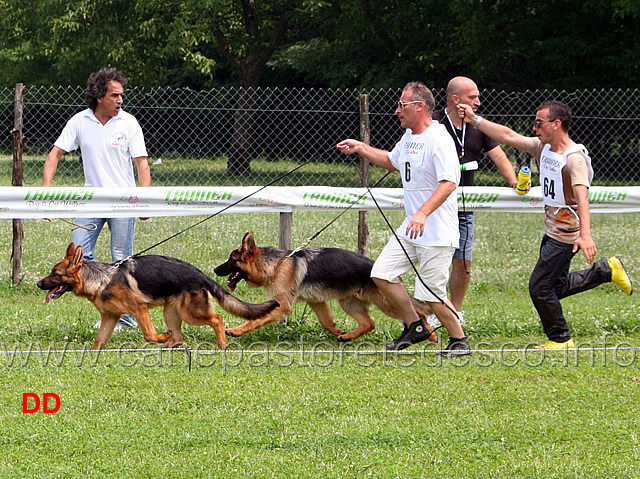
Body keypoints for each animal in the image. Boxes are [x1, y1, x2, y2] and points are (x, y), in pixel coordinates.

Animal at [37, 242, 278, 350]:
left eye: (55, 274)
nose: (38, 284)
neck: (102, 278)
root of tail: (200, 274)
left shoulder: (139, 309)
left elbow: (149, 335)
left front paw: (159, 337)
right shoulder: (110, 317)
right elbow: (99, 341)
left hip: (189, 312)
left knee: (217, 319)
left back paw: (222, 343)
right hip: (170, 312)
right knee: (179, 338)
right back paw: (167, 347)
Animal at [212, 234, 438, 344]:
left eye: (231, 260)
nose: (214, 269)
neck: (276, 264)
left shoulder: (283, 306)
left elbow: (256, 319)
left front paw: (236, 330)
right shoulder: (317, 302)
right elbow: (327, 322)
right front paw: (338, 331)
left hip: (386, 302)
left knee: (417, 312)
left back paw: (429, 334)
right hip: (348, 303)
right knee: (370, 323)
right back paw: (348, 337)